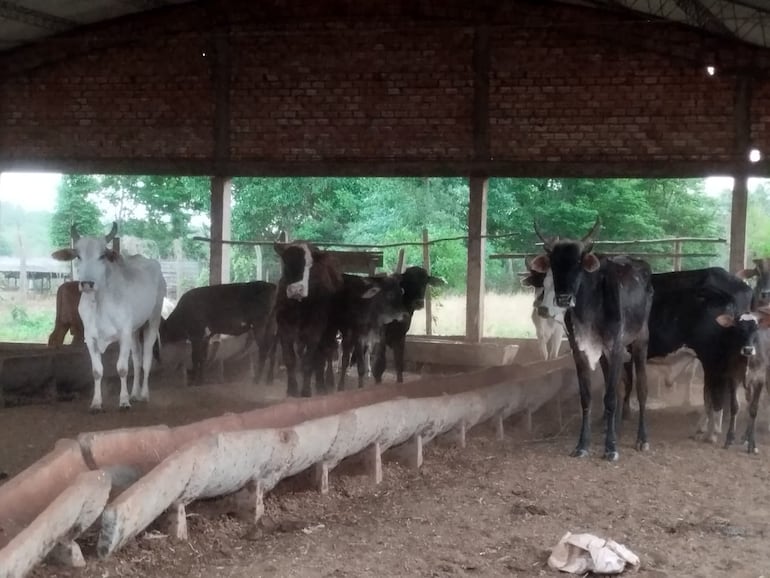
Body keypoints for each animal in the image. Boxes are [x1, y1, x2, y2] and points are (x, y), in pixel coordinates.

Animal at [52, 222, 165, 410]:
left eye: (102, 255)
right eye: (78, 256)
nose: (87, 284)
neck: (99, 304)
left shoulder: (124, 334)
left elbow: (122, 368)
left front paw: (124, 401)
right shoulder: (90, 338)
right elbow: (97, 371)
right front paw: (96, 403)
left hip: (153, 319)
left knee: (146, 359)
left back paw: (143, 394)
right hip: (134, 330)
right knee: (137, 359)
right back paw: (134, 393)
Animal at [272, 238, 340, 396]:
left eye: (309, 264)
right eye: (286, 262)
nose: (296, 289)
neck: (300, 305)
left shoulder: (315, 331)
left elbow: (310, 361)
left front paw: (306, 390)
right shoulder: (284, 329)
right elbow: (290, 359)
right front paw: (292, 389)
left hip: (330, 330)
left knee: (327, 353)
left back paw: (325, 382)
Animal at [532, 216, 652, 460]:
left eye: (579, 262)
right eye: (553, 263)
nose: (563, 298)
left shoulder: (616, 347)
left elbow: (611, 397)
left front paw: (611, 448)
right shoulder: (579, 350)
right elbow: (587, 397)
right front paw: (582, 444)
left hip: (640, 340)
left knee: (641, 389)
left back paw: (641, 439)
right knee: (617, 387)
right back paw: (613, 428)